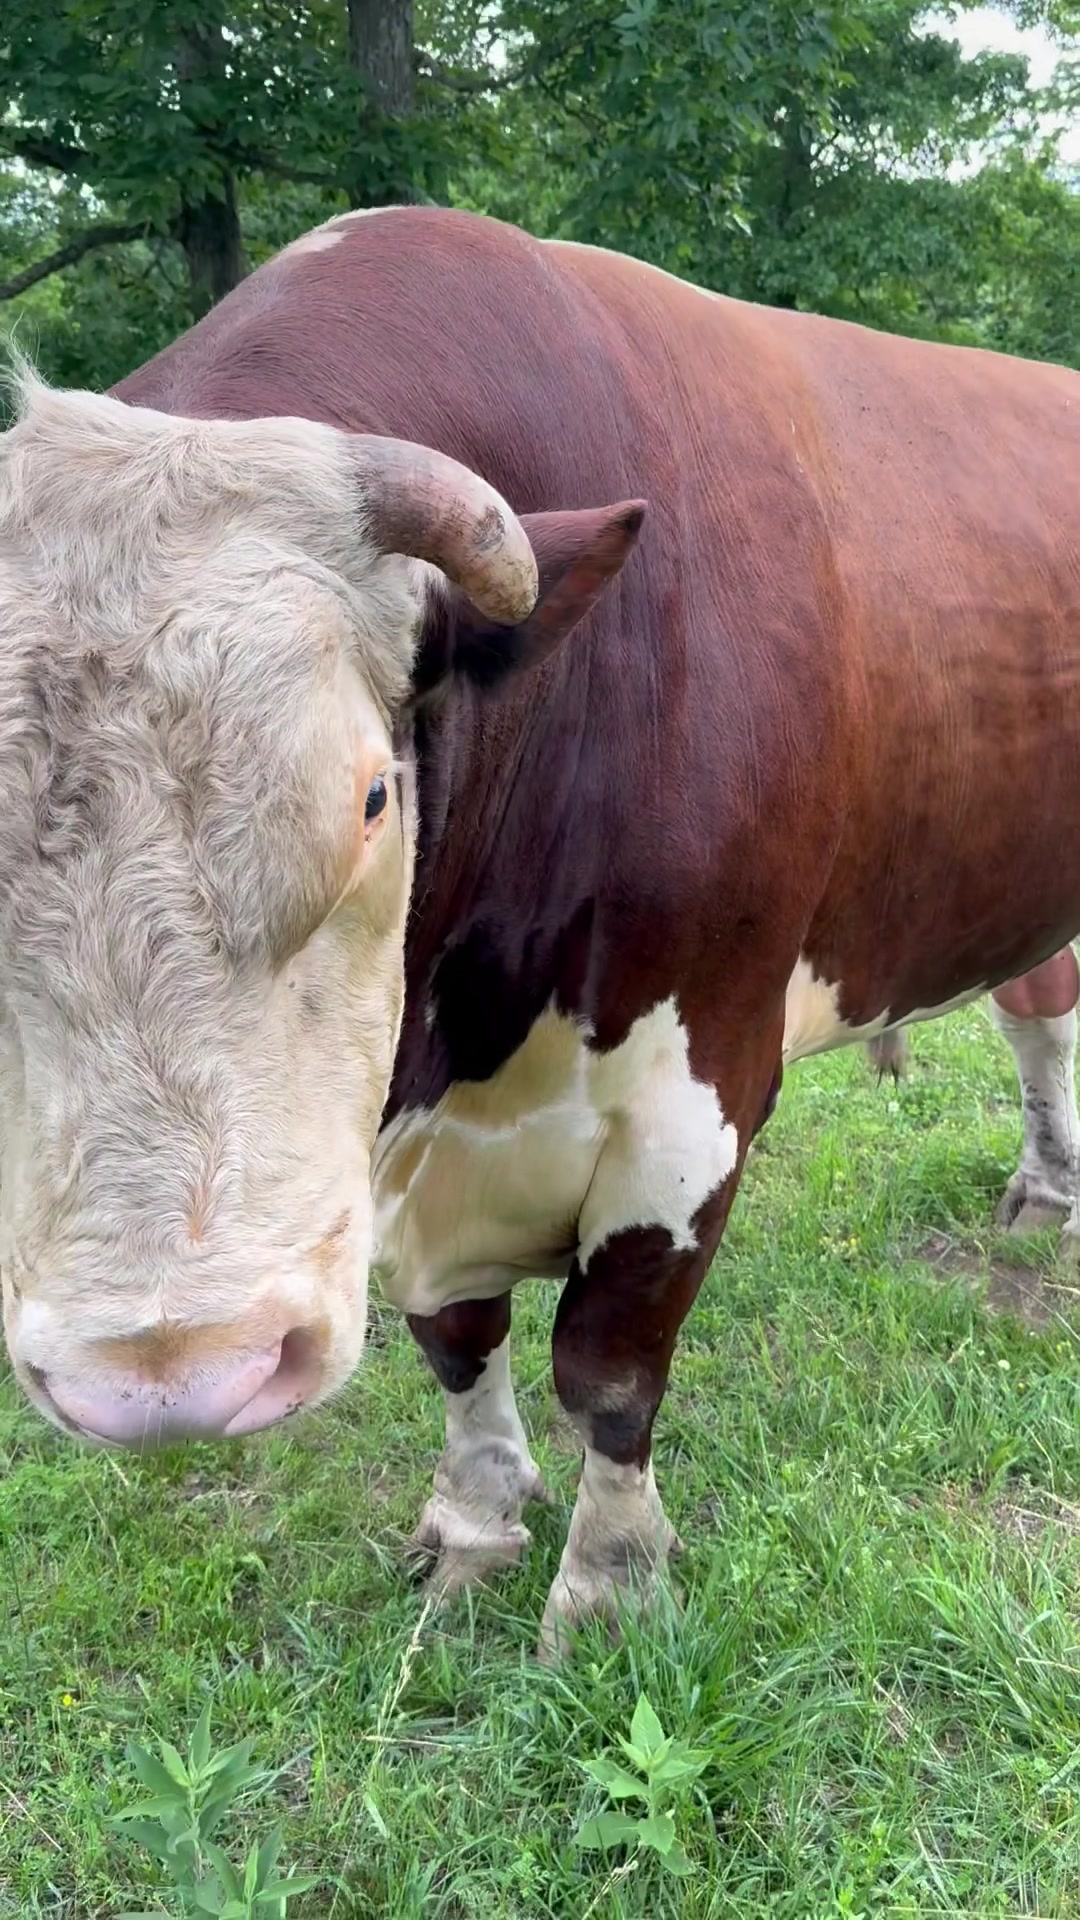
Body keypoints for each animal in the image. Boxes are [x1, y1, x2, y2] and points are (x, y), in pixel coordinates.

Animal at [2, 205, 1080, 1658]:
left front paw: (610, 1584)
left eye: (373, 795)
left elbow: (607, 1368)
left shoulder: (694, 1095)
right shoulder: (400, 1153)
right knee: (1038, 1011)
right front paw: (473, 1520)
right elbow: (458, 1336)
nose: (168, 1374)